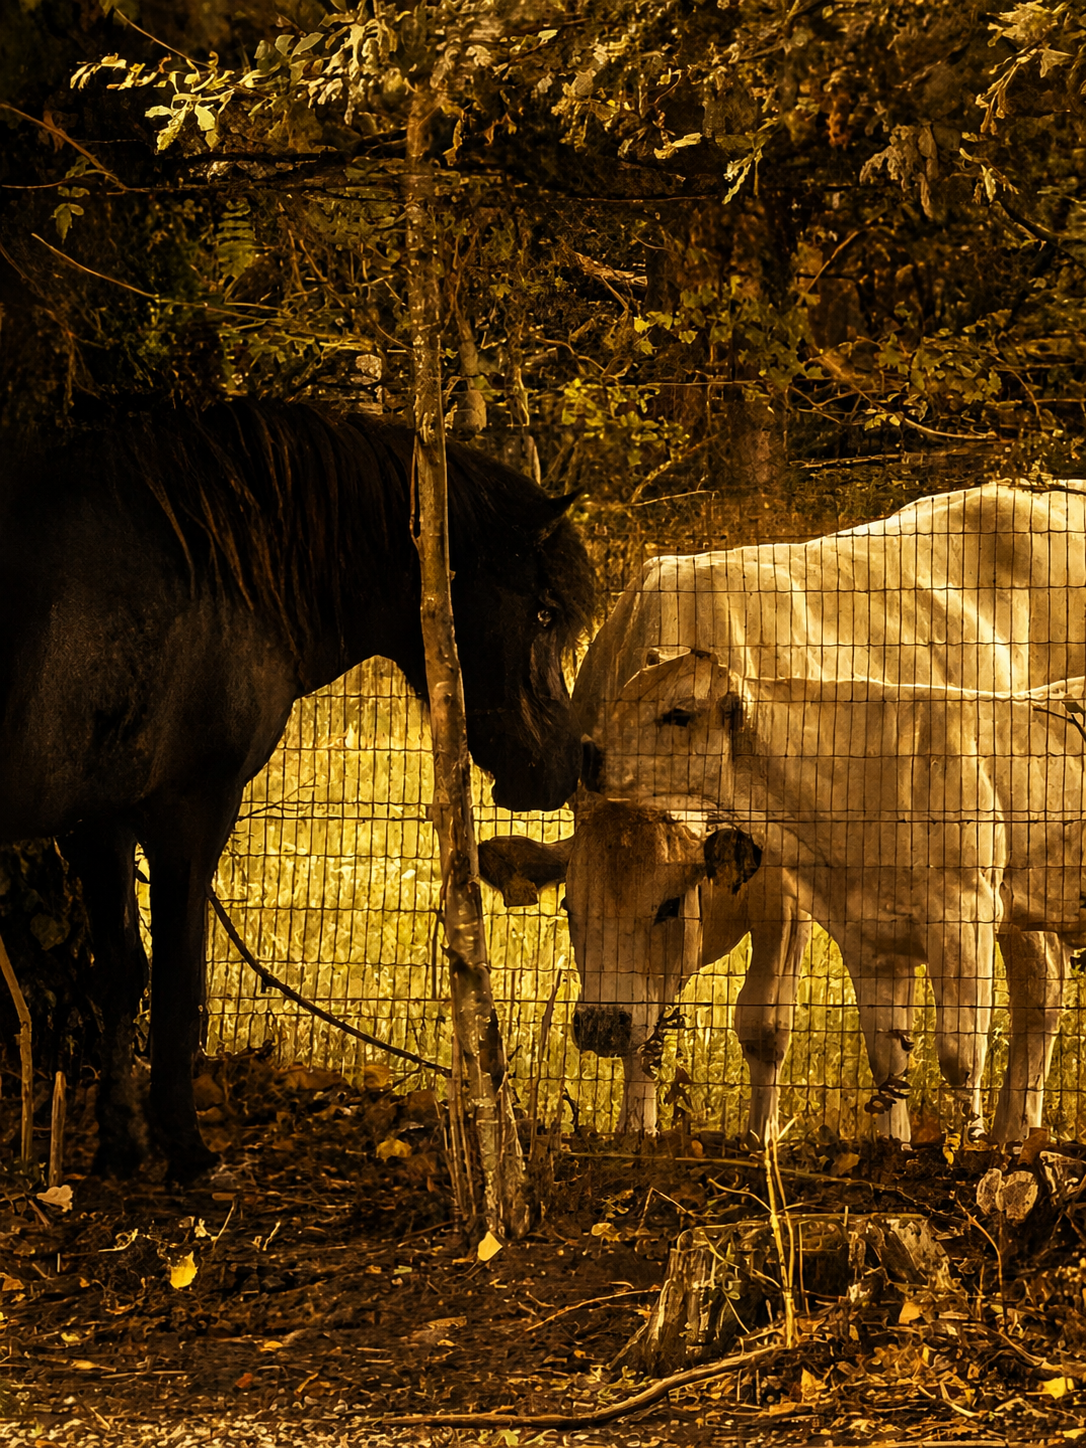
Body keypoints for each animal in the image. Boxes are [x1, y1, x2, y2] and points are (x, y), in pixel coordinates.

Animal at [0, 400, 595, 1176]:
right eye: (544, 612)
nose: (567, 762)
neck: (207, 571)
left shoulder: (102, 819)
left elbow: (122, 971)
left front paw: (122, 1146)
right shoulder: (191, 808)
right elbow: (179, 979)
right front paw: (184, 1147)